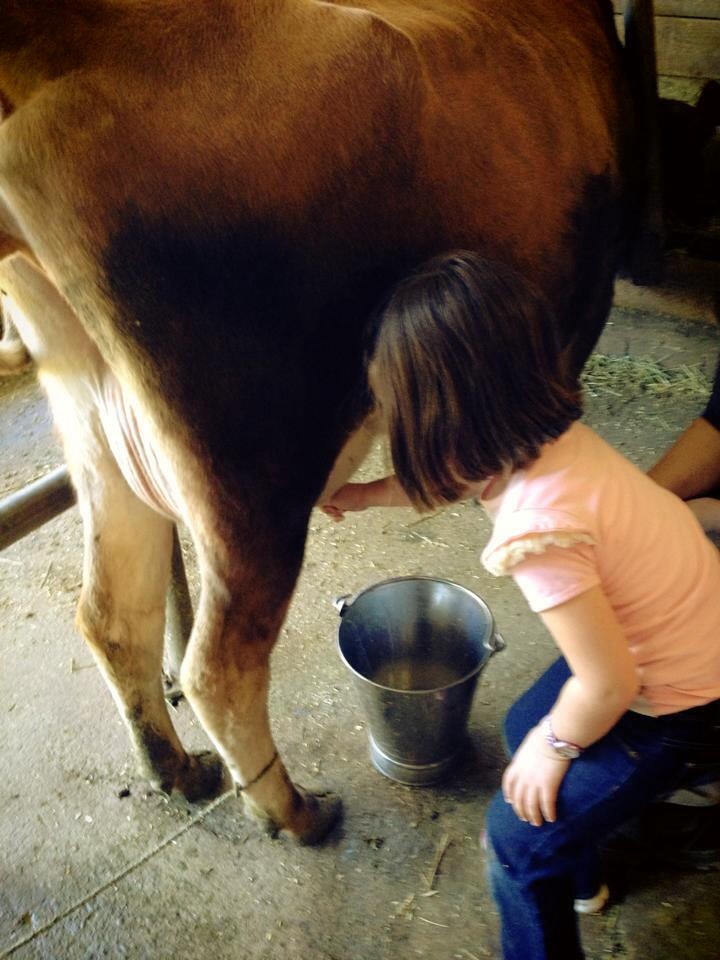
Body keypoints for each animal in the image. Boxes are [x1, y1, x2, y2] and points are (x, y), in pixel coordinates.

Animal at [0, 0, 652, 840]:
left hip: (100, 433)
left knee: (115, 615)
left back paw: (177, 769)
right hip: (251, 475)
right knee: (220, 664)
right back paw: (294, 809)